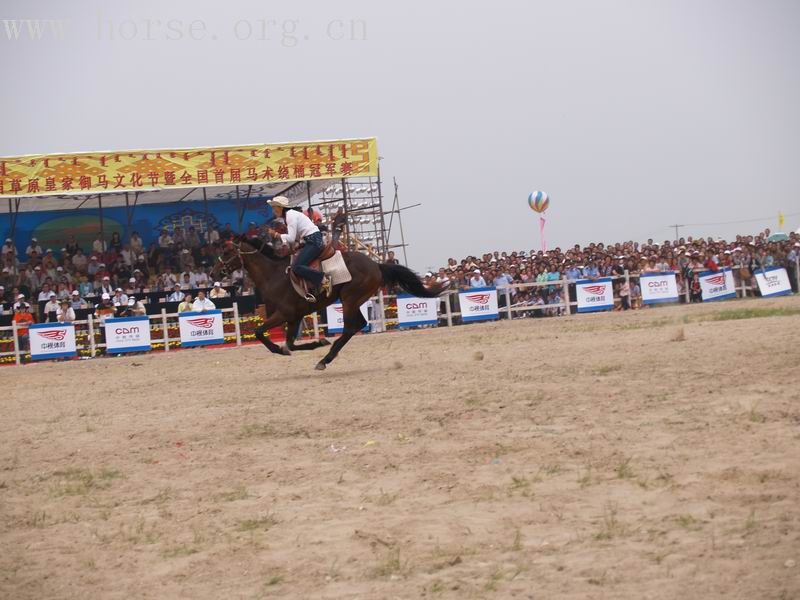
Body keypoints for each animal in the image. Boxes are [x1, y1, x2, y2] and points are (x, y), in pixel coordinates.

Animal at [216, 236, 446, 370]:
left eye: (226, 252)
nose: (215, 272)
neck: (273, 275)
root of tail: (377, 265)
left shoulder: (283, 314)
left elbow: (259, 333)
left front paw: (282, 349)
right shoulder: (294, 318)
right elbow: (290, 343)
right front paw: (316, 343)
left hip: (350, 299)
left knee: (351, 327)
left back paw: (325, 360)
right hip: (353, 301)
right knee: (358, 325)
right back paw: (326, 355)